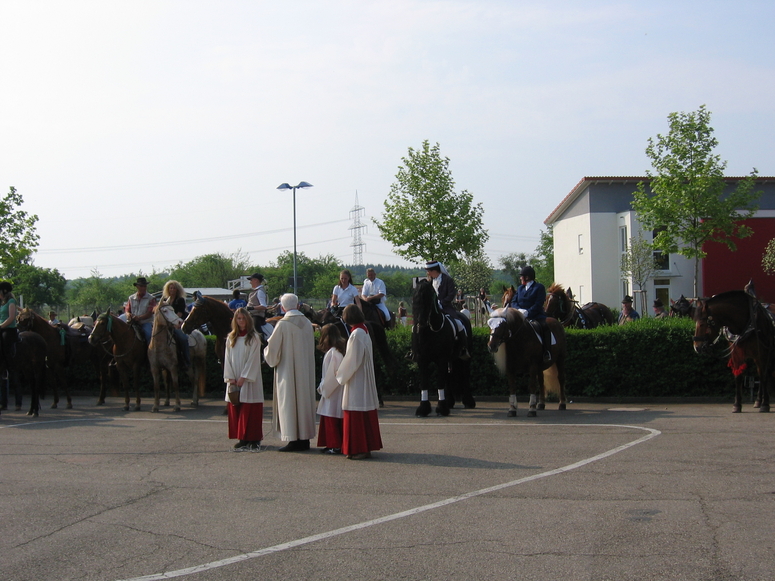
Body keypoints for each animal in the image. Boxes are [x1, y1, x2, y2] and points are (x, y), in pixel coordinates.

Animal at [410, 278, 476, 414]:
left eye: (428, 297)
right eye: (414, 298)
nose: (420, 322)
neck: (429, 331)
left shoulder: (441, 359)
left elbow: (440, 381)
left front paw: (441, 408)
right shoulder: (422, 360)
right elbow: (424, 383)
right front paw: (423, 408)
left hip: (464, 358)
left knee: (465, 375)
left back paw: (468, 401)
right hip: (450, 359)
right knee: (448, 377)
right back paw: (450, 401)